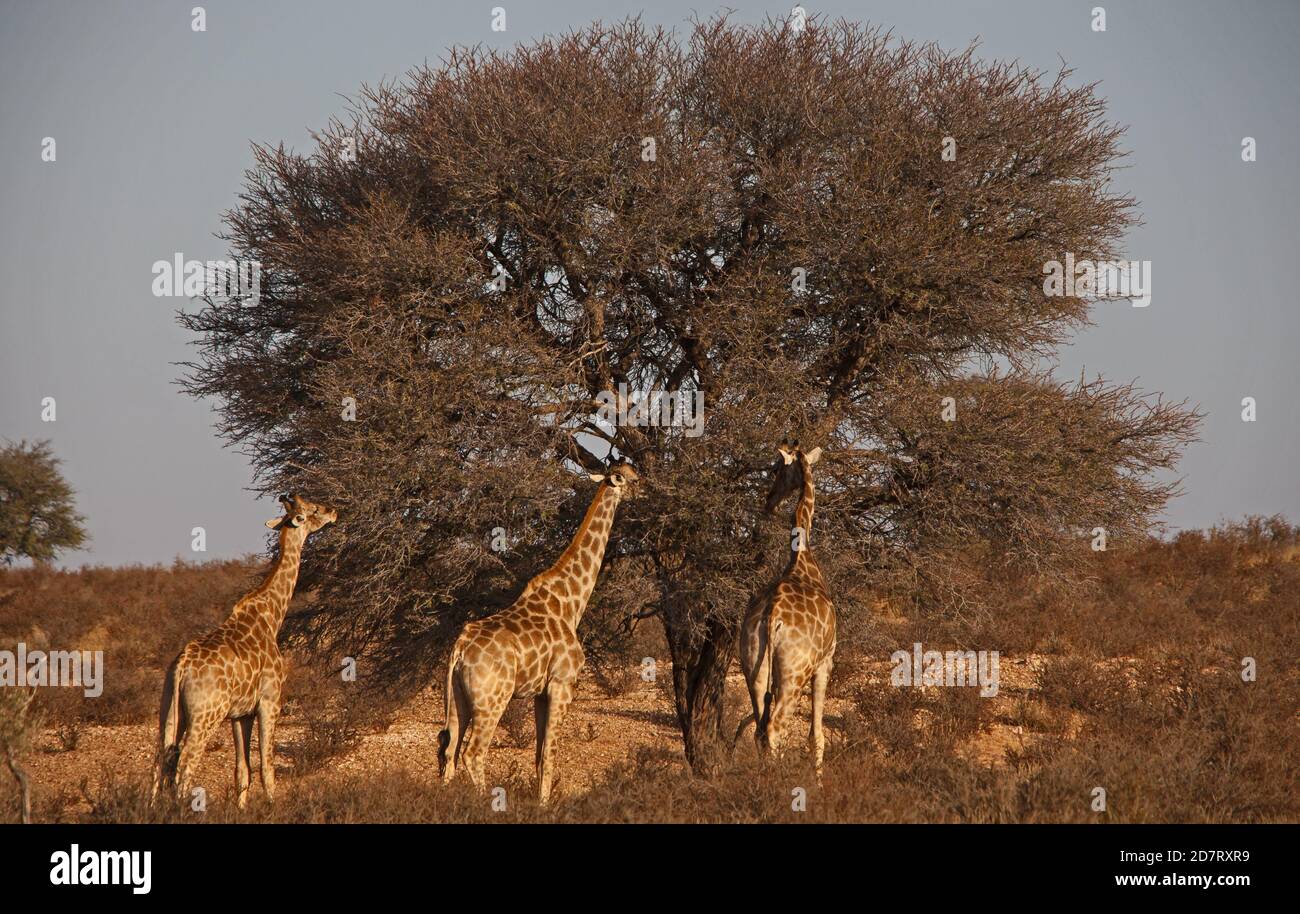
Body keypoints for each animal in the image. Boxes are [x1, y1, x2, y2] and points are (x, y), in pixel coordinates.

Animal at [149, 494, 338, 806]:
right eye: (313, 509)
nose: (333, 511)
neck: (272, 616)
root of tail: (181, 666)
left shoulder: (241, 714)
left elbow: (242, 770)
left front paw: (241, 809)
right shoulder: (270, 701)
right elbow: (266, 767)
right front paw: (272, 807)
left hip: (169, 709)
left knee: (160, 759)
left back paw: (151, 809)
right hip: (205, 714)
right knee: (185, 763)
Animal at [436, 465, 639, 800]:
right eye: (634, 478)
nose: (648, 490)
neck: (571, 601)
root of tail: (460, 647)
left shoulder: (540, 694)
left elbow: (539, 755)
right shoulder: (562, 684)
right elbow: (550, 754)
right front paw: (544, 804)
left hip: (456, 697)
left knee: (449, 750)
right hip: (493, 699)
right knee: (473, 753)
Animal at [738, 442, 837, 780]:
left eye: (777, 470)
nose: (769, 499)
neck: (801, 559)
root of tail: (771, 617)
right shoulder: (825, 662)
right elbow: (816, 735)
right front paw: (819, 782)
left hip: (753, 667)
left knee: (760, 729)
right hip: (795, 672)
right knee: (774, 728)